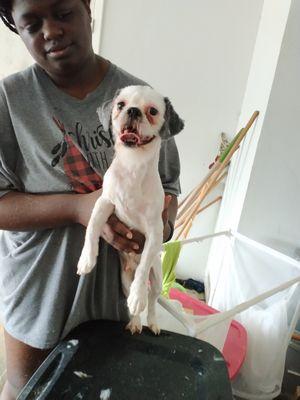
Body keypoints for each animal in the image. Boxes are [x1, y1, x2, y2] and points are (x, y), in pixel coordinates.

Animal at [77, 86, 183, 334]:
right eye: (120, 105)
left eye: (152, 111)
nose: (133, 111)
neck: (133, 167)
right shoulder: (105, 202)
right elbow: (92, 228)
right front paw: (87, 259)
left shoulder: (154, 230)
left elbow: (143, 270)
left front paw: (137, 298)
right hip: (124, 279)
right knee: (130, 294)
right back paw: (135, 323)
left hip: (156, 279)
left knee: (151, 298)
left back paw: (151, 320)